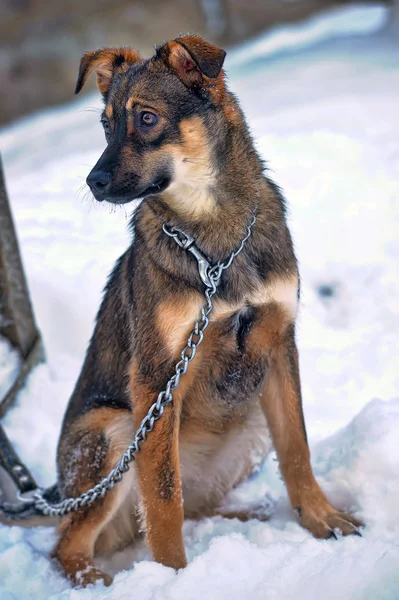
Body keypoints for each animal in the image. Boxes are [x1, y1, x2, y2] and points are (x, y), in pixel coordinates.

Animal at [51, 36, 364, 584]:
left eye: (147, 118)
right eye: (106, 126)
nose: (93, 181)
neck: (212, 237)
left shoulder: (279, 345)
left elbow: (298, 450)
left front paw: (322, 518)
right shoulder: (156, 383)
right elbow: (162, 499)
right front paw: (175, 578)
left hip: (248, 416)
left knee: (196, 505)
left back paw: (246, 516)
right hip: (112, 430)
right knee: (69, 543)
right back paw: (92, 580)